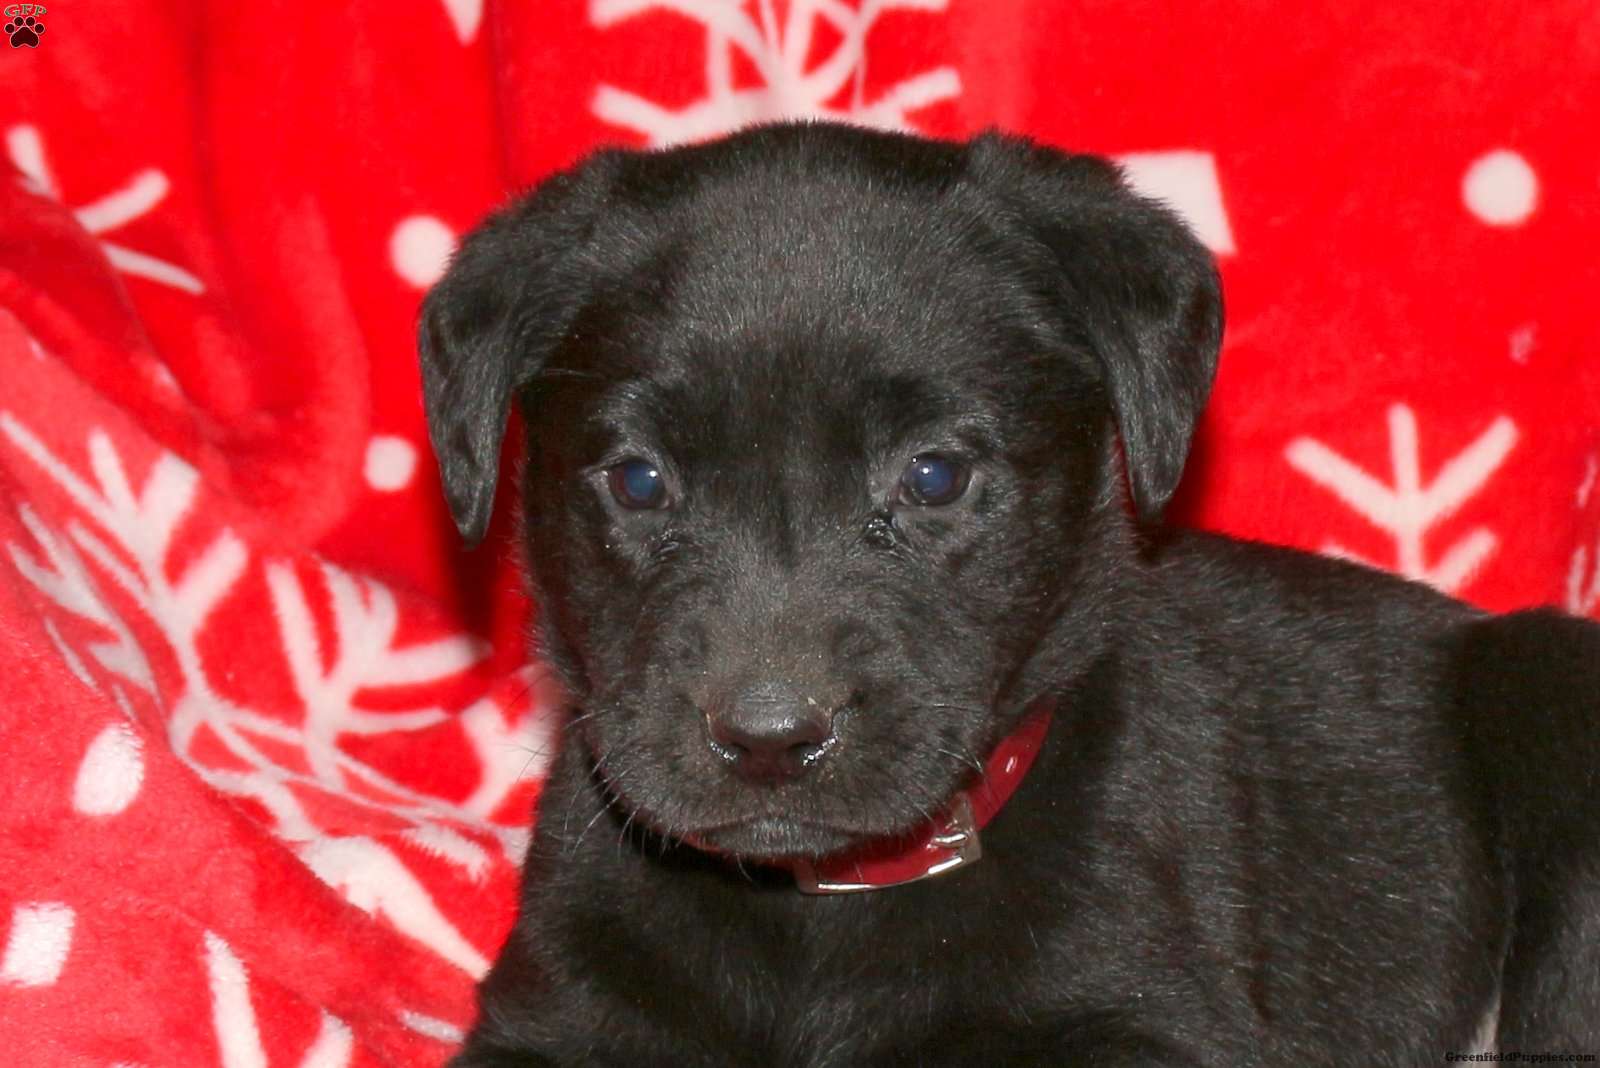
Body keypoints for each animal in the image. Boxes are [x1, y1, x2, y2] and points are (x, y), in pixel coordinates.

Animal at [418, 121, 1600, 1066]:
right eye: (639, 481)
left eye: (935, 476)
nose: (768, 737)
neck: (824, 913)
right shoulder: (554, 1012)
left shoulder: (1147, 1020)